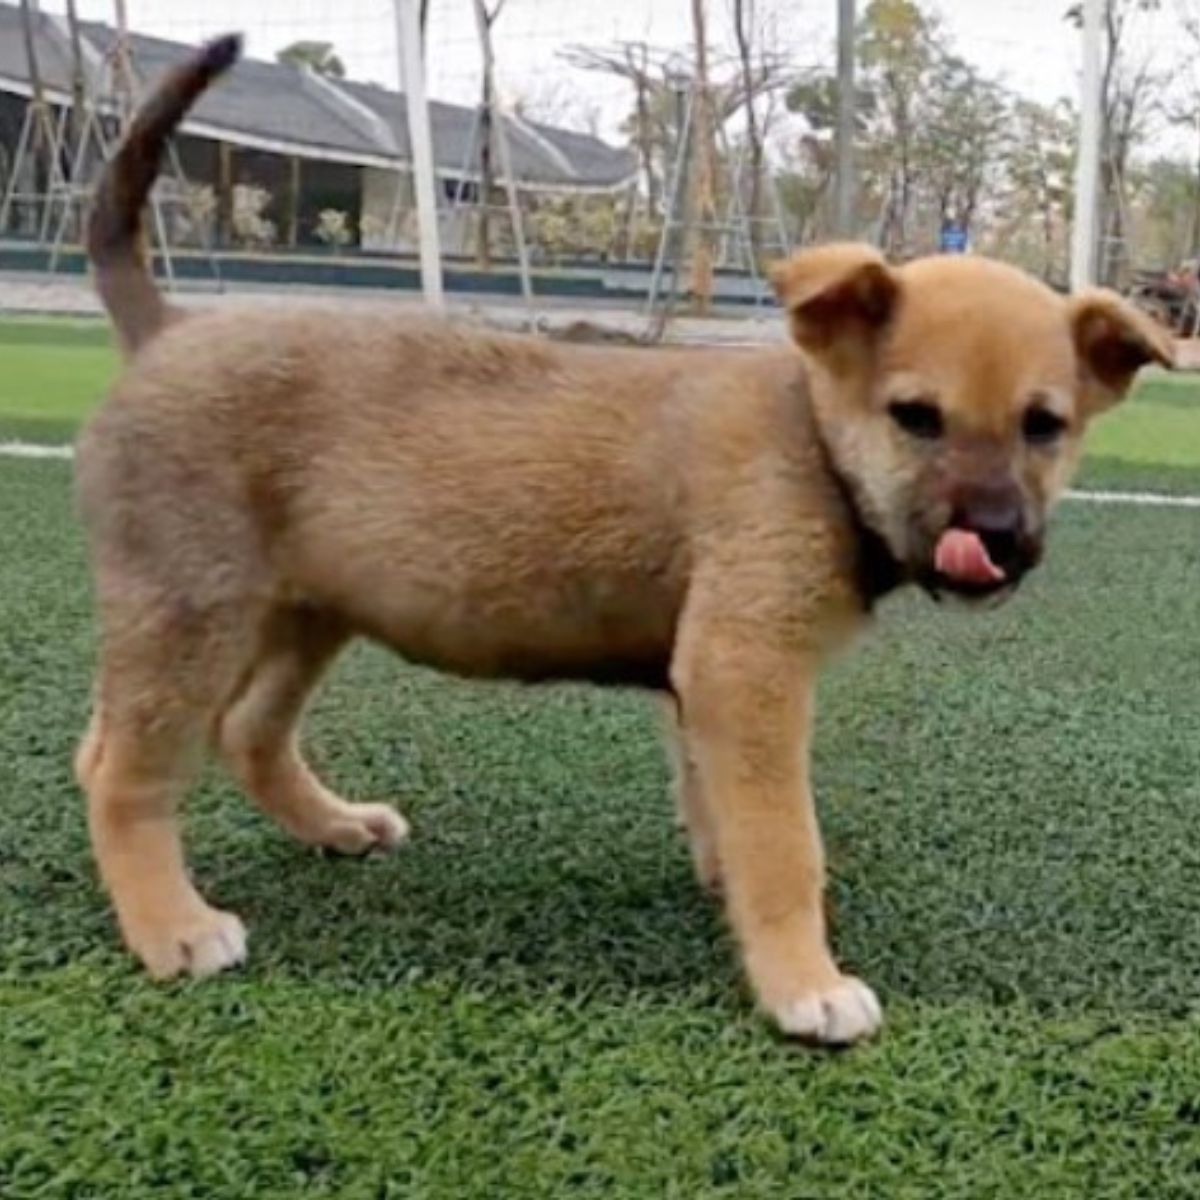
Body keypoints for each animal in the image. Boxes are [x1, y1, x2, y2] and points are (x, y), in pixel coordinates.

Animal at [75, 42, 1171, 1046]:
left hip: (300, 610)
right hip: (194, 613)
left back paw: (334, 826)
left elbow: (728, 812)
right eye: (916, 418)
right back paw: (171, 926)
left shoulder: (707, 688)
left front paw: (737, 899)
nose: (994, 539)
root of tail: (165, 328)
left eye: (1045, 426)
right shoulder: (746, 669)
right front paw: (803, 981)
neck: (814, 443)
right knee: (123, 772)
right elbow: (786, 841)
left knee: (238, 733)